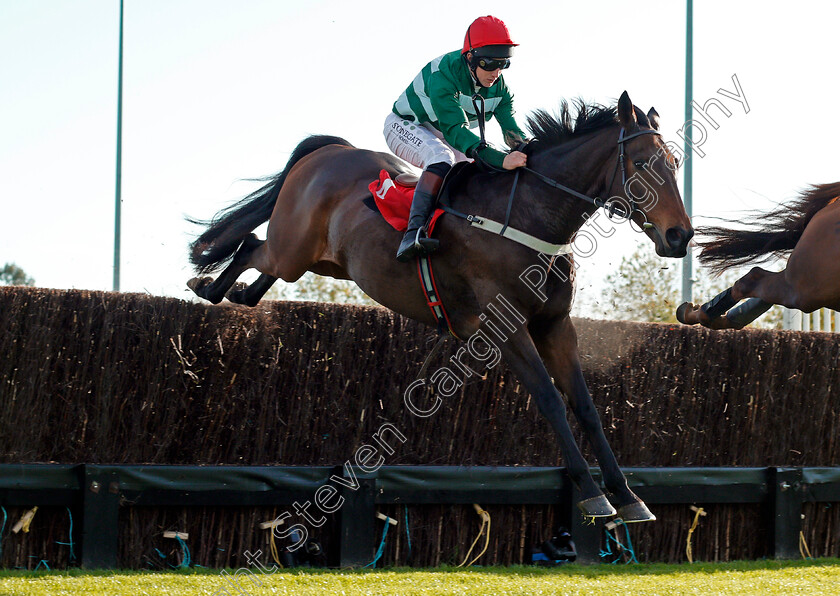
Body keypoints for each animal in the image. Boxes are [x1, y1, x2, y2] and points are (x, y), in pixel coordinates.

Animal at [187, 92, 692, 520]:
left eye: (674, 162)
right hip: (293, 250)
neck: (529, 216)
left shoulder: (554, 324)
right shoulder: (503, 328)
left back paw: (234, 293)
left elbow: (585, 406)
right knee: (250, 246)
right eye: (643, 163)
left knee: (258, 261)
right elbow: (550, 400)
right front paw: (591, 495)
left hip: (323, 262)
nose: (680, 236)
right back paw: (207, 285)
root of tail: (331, 151)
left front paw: (628, 497)